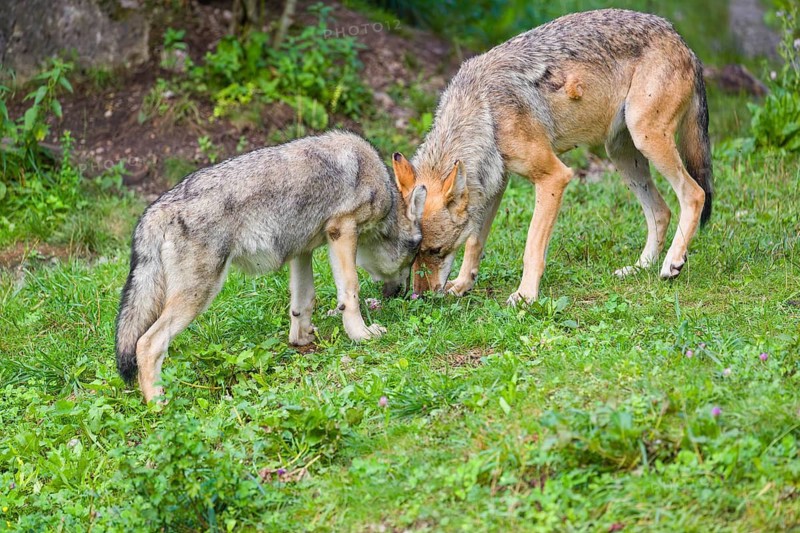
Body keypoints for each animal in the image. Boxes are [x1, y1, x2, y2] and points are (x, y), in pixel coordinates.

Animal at [115, 131, 427, 402]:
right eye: (415, 251)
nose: (402, 294)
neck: (380, 184)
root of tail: (155, 210)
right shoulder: (342, 232)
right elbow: (350, 292)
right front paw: (361, 335)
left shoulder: (302, 250)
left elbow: (303, 301)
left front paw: (301, 339)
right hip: (198, 296)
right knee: (147, 344)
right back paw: (158, 405)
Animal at [392, 9, 713, 303]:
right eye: (413, 254)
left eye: (436, 251)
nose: (419, 297)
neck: (485, 112)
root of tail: (680, 39)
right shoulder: (493, 185)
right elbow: (475, 241)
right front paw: (462, 285)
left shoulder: (553, 177)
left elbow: (532, 247)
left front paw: (525, 296)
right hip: (622, 154)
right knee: (661, 211)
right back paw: (639, 268)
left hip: (646, 137)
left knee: (695, 194)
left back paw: (672, 263)